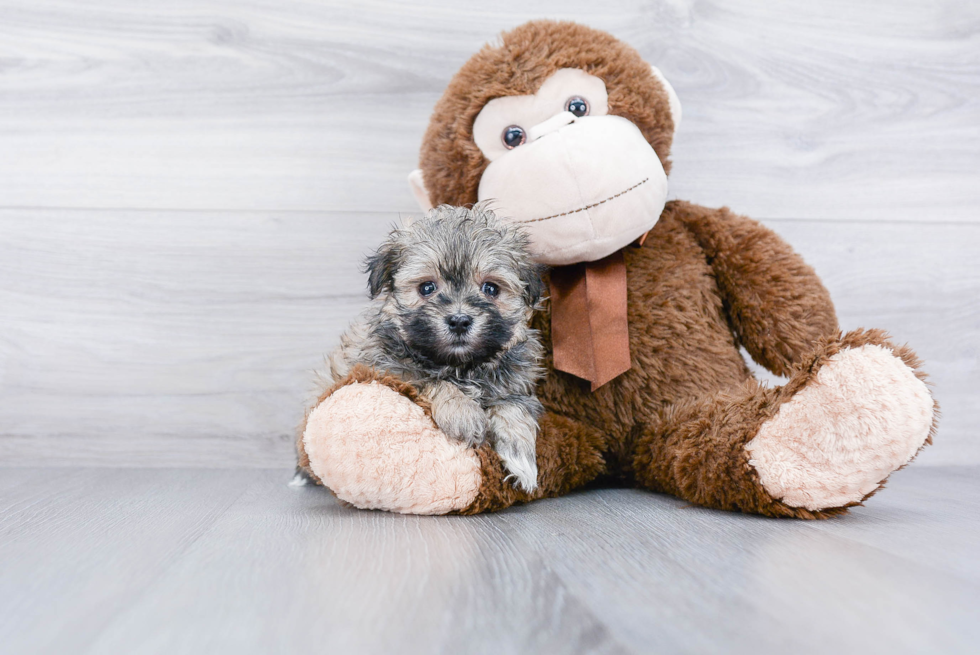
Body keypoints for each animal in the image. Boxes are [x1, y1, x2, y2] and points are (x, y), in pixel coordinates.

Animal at [328, 205, 544, 492]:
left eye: (490, 288)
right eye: (427, 287)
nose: (459, 320)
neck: (460, 366)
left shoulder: (516, 385)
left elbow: (514, 406)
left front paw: (521, 457)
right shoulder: (389, 371)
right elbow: (432, 381)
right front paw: (463, 413)